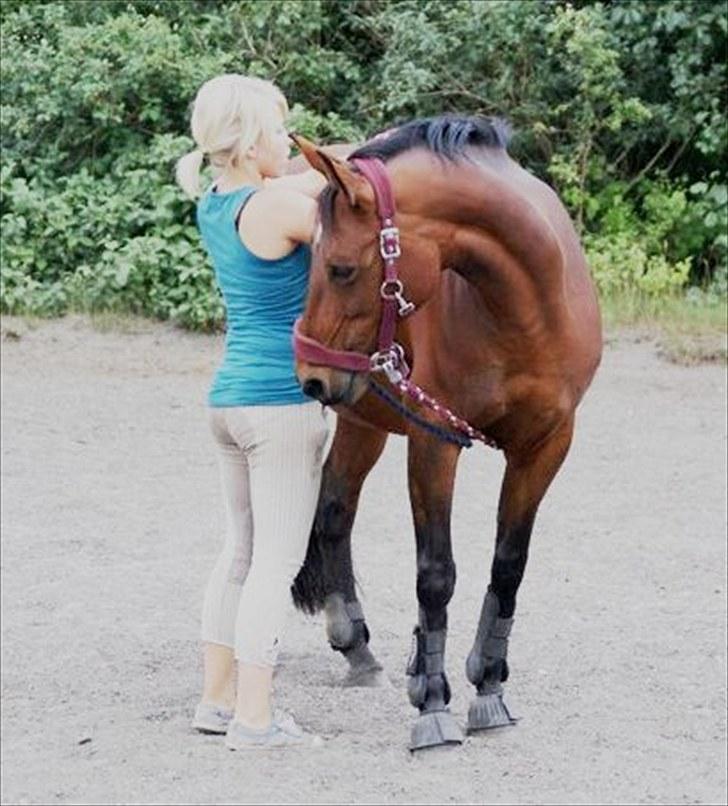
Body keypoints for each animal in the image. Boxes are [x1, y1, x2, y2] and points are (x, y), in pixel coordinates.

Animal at [288, 116, 602, 751]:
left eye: (340, 267)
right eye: (312, 259)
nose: (311, 373)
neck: (525, 311)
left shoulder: (545, 448)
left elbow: (508, 565)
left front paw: (489, 685)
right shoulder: (436, 441)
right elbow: (436, 574)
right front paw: (432, 702)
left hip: (361, 415)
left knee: (334, 508)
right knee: (316, 513)